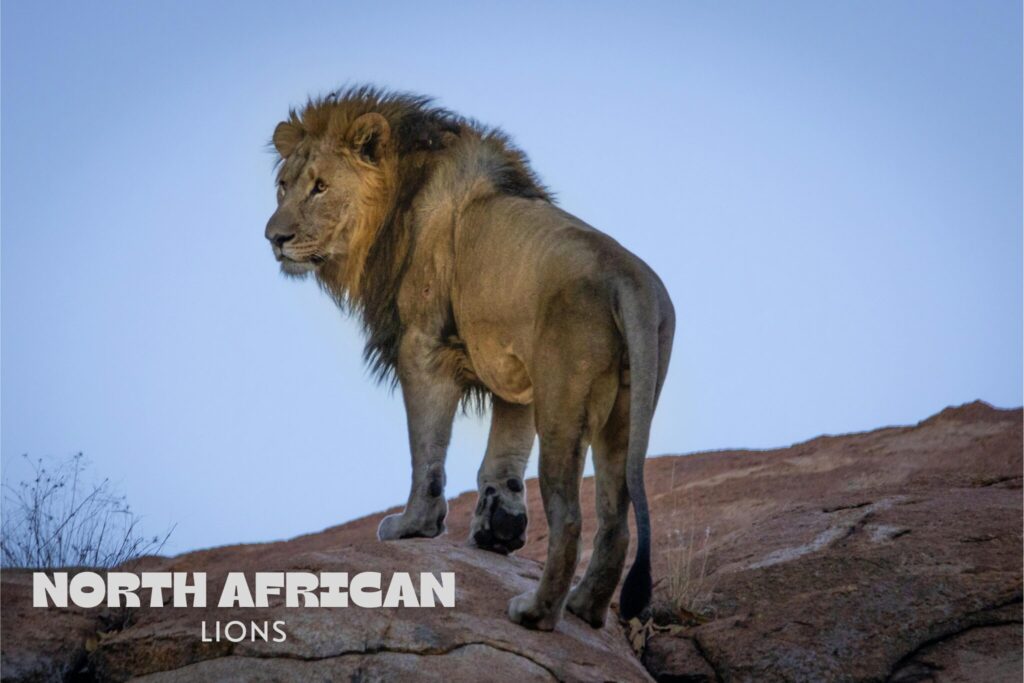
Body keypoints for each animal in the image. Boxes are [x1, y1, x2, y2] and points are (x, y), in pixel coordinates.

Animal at [268, 88, 675, 634]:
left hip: (564, 405)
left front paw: (414, 525)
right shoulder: (515, 372)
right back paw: (585, 609)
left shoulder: (423, 348)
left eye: (320, 187)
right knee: (616, 520)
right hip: (625, 414)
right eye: (282, 186)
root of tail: (629, 279)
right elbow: (502, 460)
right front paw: (498, 531)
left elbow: (426, 451)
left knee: (571, 517)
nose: (274, 238)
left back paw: (536, 613)